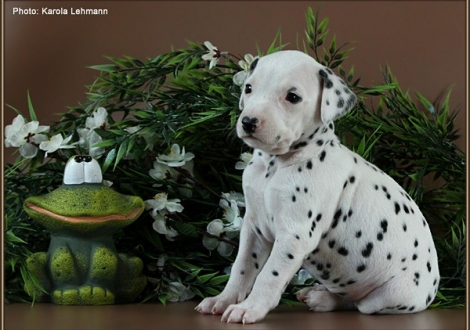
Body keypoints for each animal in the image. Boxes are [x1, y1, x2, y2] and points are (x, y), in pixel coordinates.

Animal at [195, 50, 440, 324]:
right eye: (249, 88)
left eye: (293, 97)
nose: (249, 122)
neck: (275, 166)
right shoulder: (254, 228)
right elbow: (242, 267)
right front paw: (223, 299)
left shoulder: (295, 235)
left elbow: (269, 275)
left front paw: (250, 307)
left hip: (392, 294)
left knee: (359, 304)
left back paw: (323, 299)